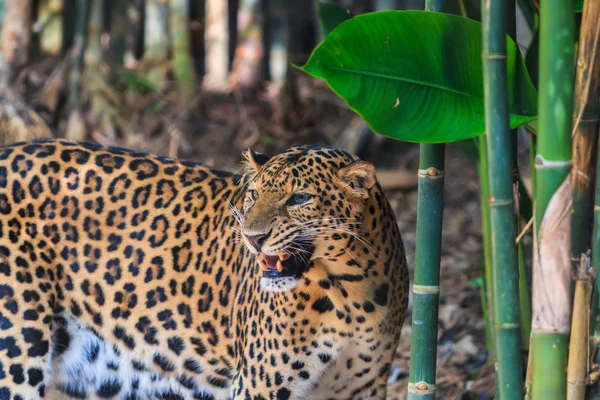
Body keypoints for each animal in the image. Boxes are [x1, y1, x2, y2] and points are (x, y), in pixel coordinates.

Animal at [0, 138, 410, 400]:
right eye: (253, 194)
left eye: (300, 199)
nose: (252, 237)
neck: (349, 289)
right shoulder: (260, 384)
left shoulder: (360, 389)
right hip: (15, 351)